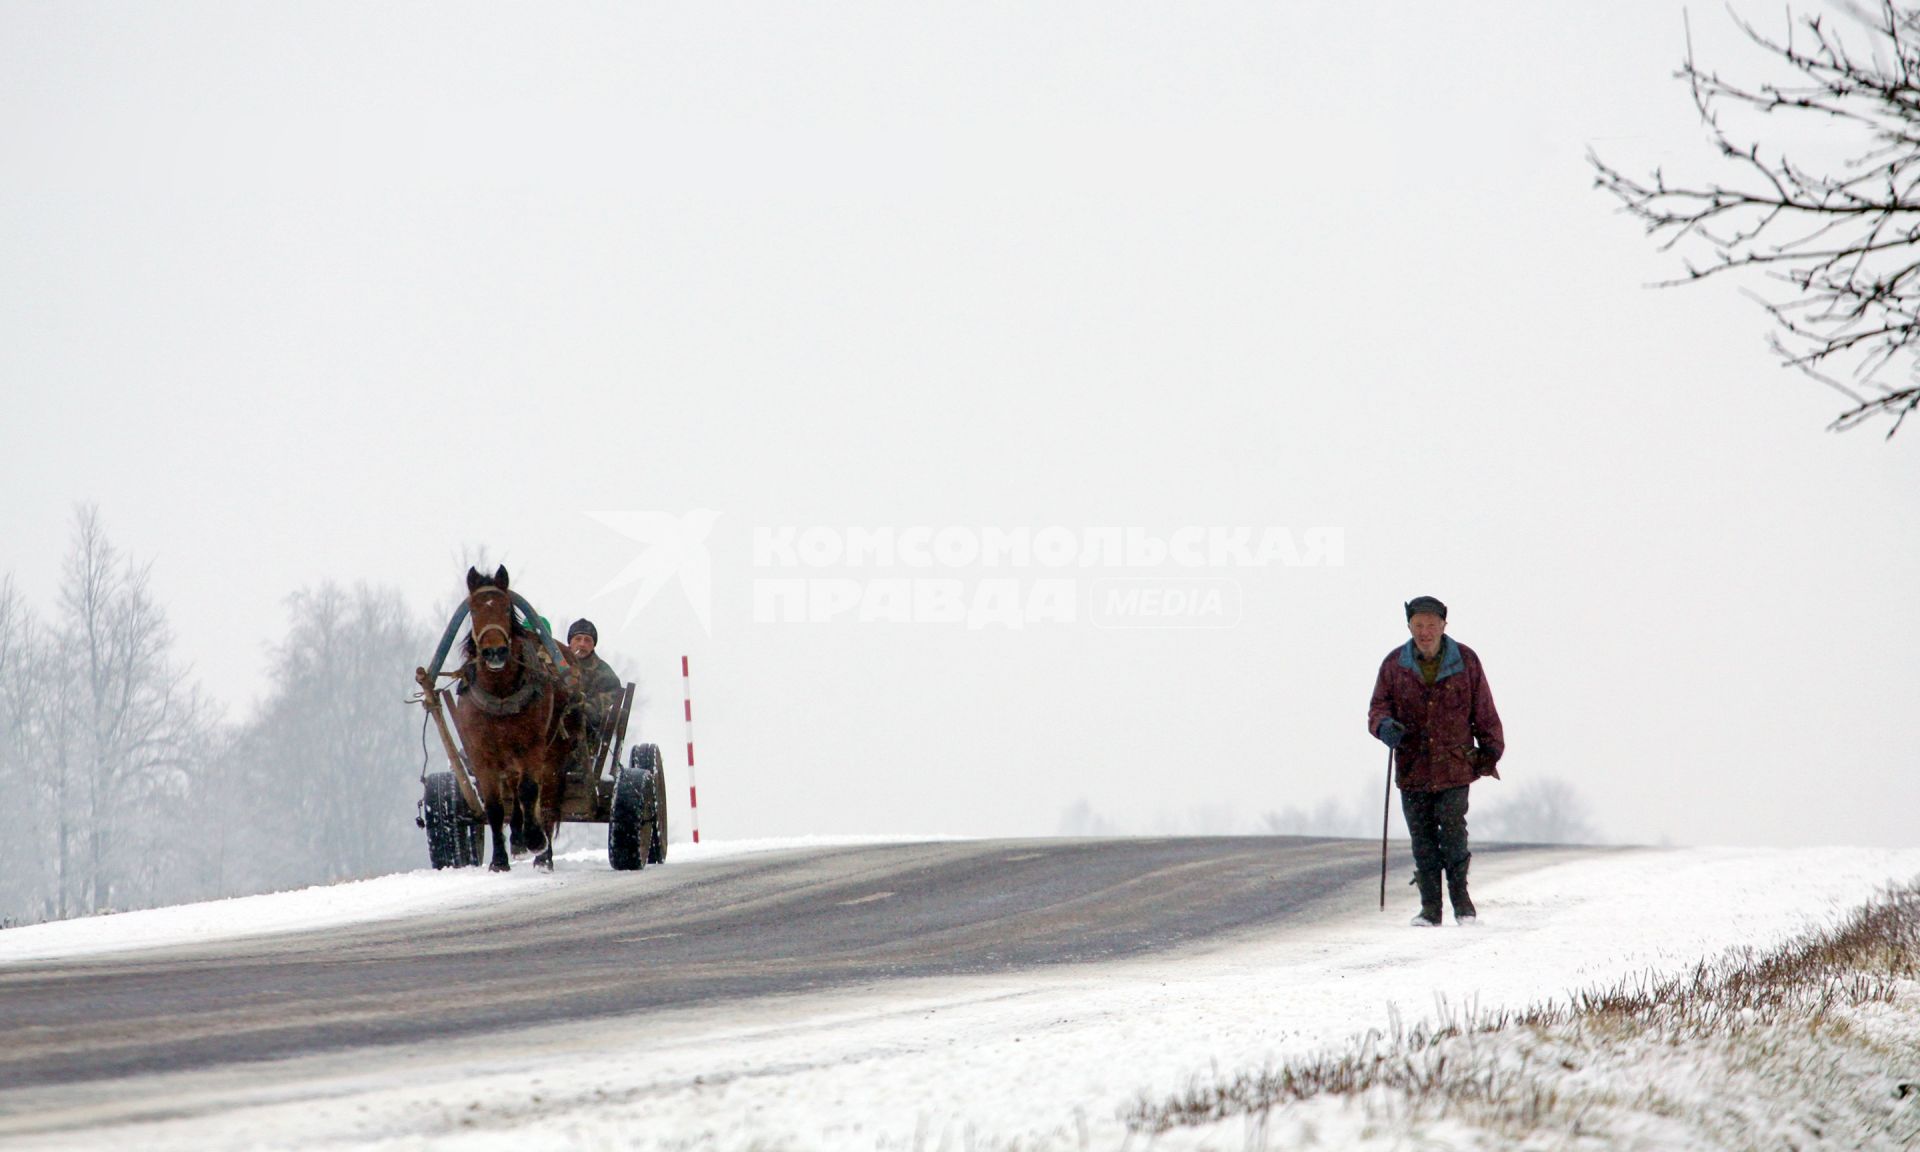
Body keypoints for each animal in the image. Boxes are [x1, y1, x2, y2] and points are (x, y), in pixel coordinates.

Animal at [451, 568, 564, 871]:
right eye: (473, 610)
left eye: (505, 606)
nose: (495, 652)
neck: (501, 695)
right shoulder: (481, 754)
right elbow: (494, 806)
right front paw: (499, 860)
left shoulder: (532, 746)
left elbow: (529, 791)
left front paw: (535, 840)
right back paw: (518, 840)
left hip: (551, 755)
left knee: (545, 801)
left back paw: (543, 855)